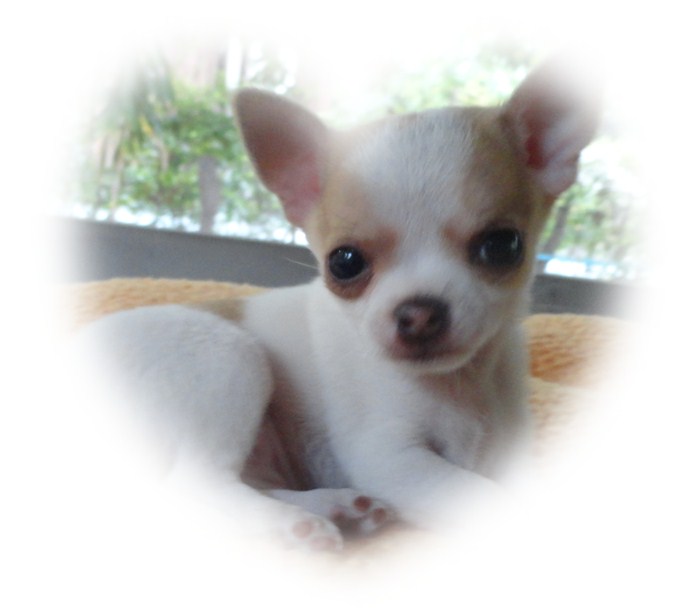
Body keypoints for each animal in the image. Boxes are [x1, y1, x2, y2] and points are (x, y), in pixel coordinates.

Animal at [79, 60, 599, 551]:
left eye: (503, 246)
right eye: (344, 263)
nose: (419, 313)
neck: (460, 385)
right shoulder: (390, 457)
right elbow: (493, 500)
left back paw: (334, 506)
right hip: (225, 357)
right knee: (195, 486)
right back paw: (291, 526)